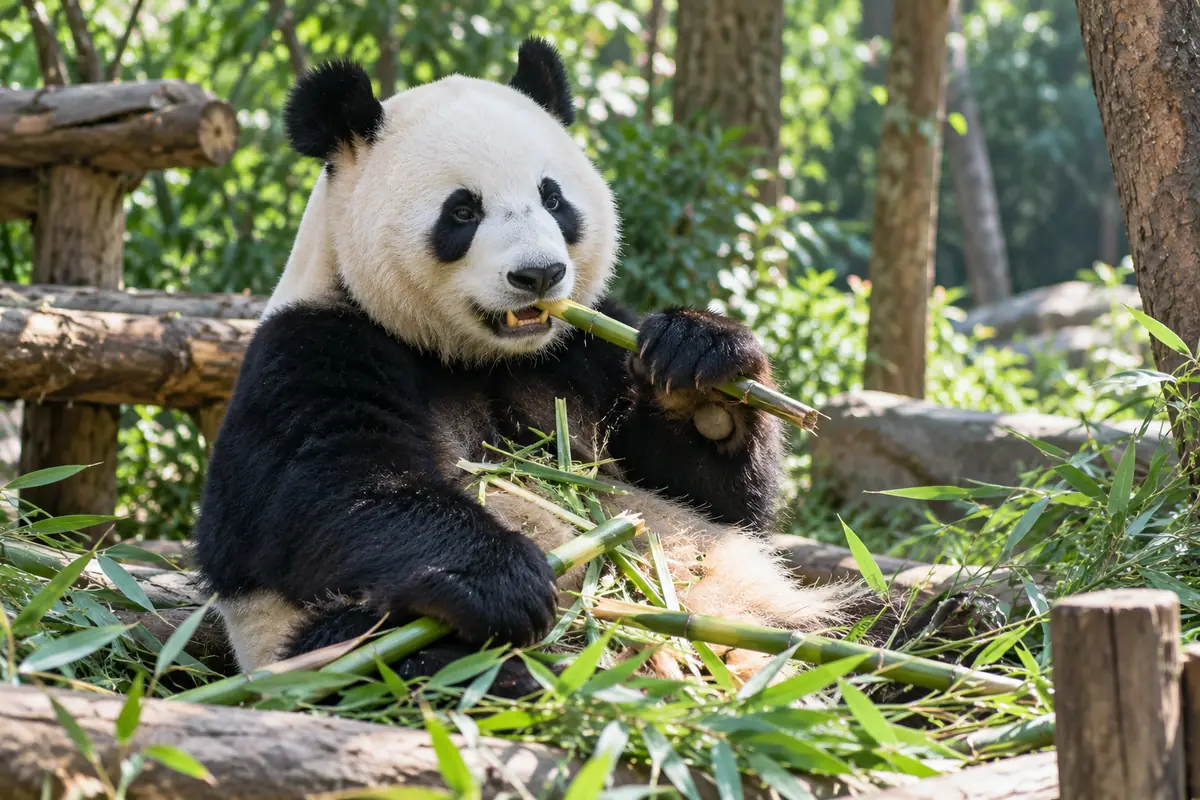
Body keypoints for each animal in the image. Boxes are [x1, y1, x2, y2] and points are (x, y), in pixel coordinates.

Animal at [194, 37, 911, 696]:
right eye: (463, 210)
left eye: (553, 199)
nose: (538, 274)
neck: (477, 357)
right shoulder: (313, 346)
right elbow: (327, 489)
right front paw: (501, 578)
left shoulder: (589, 352)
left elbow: (722, 502)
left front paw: (702, 371)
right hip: (334, 647)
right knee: (420, 662)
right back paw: (578, 675)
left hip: (796, 611)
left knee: (890, 620)